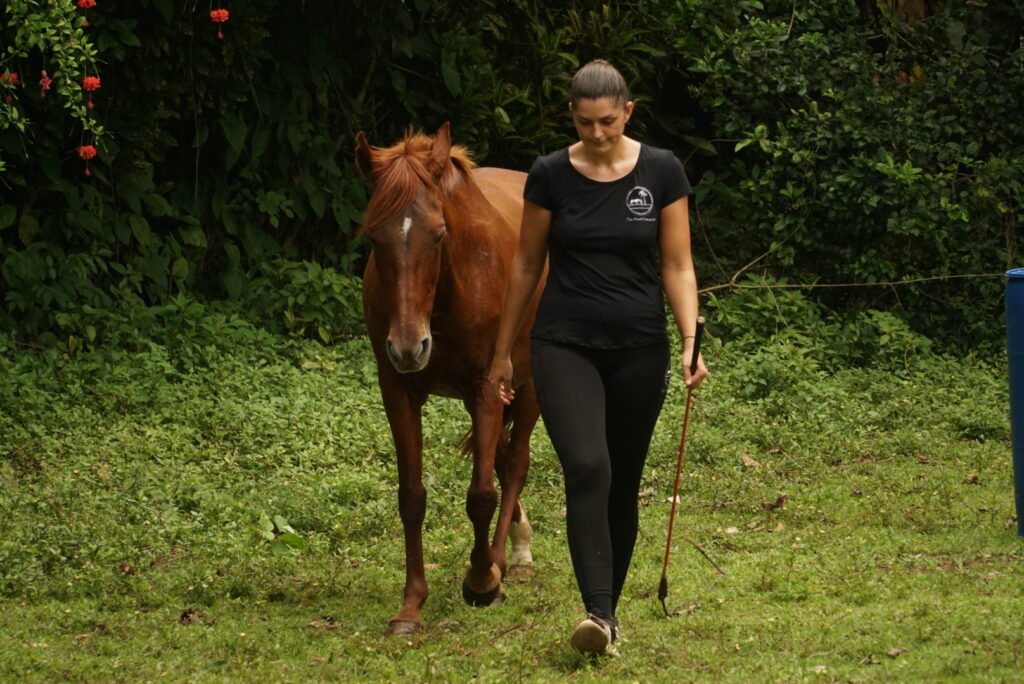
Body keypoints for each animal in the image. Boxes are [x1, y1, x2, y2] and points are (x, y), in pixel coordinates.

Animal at [354, 122, 544, 634]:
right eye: (374, 238)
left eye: (438, 235)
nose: (408, 346)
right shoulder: (398, 391)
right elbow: (411, 497)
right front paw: (411, 605)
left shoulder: (487, 387)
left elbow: (481, 494)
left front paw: (481, 581)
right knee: (504, 457)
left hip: (529, 384)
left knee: (515, 464)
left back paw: (504, 558)